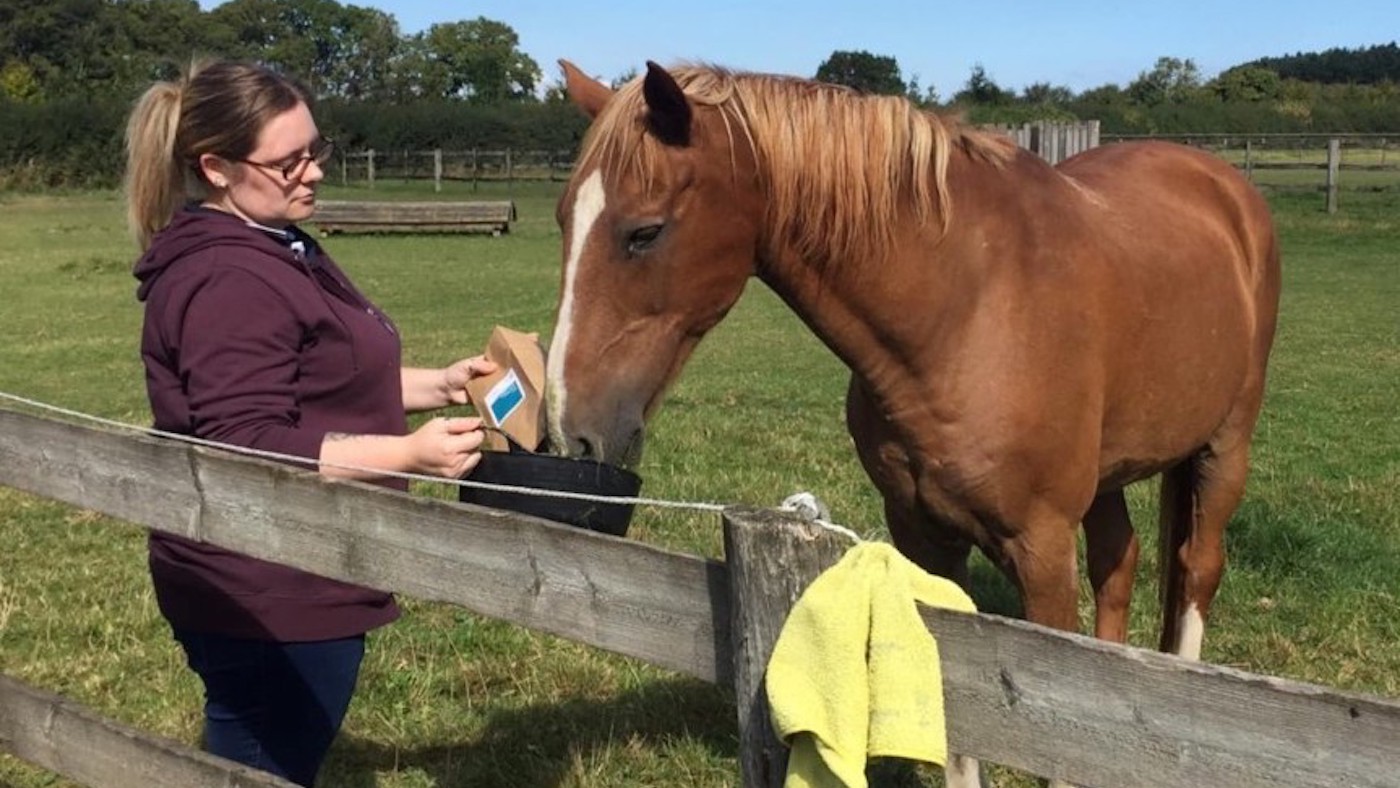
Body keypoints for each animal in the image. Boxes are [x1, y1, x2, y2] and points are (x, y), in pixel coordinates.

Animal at [545, 56, 1279, 687]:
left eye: (644, 232)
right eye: (562, 220)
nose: (568, 426)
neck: (966, 310)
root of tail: (1222, 182)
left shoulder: (1042, 553)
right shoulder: (923, 536)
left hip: (1224, 450)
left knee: (1197, 568)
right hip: (1109, 475)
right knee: (1119, 563)